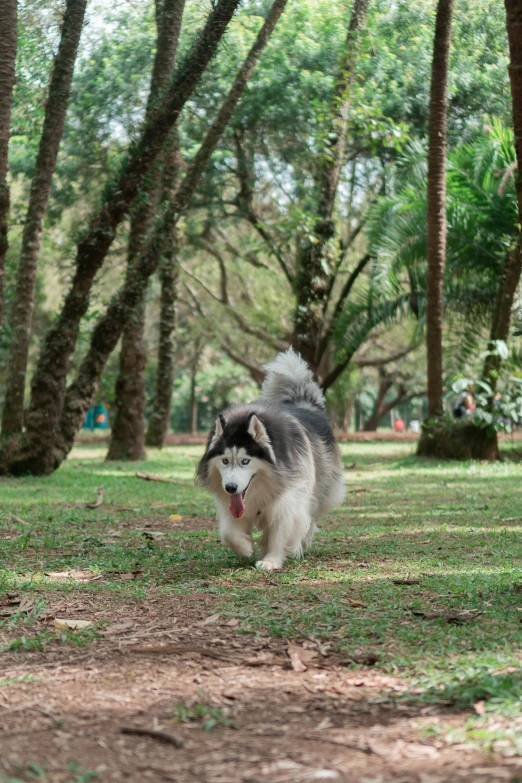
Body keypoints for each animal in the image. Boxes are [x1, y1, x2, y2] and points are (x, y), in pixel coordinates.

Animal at [193, 350, 344, 568]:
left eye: (245, 461)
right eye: (225, 461)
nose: (230, 487)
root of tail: (304, 405)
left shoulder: (288, 499)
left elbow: (281, 530)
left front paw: (271, 560)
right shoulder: (233, 505)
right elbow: (228, 533)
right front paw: (245, 547)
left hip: (321, 485)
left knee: (311, 515)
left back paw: (303, 541)